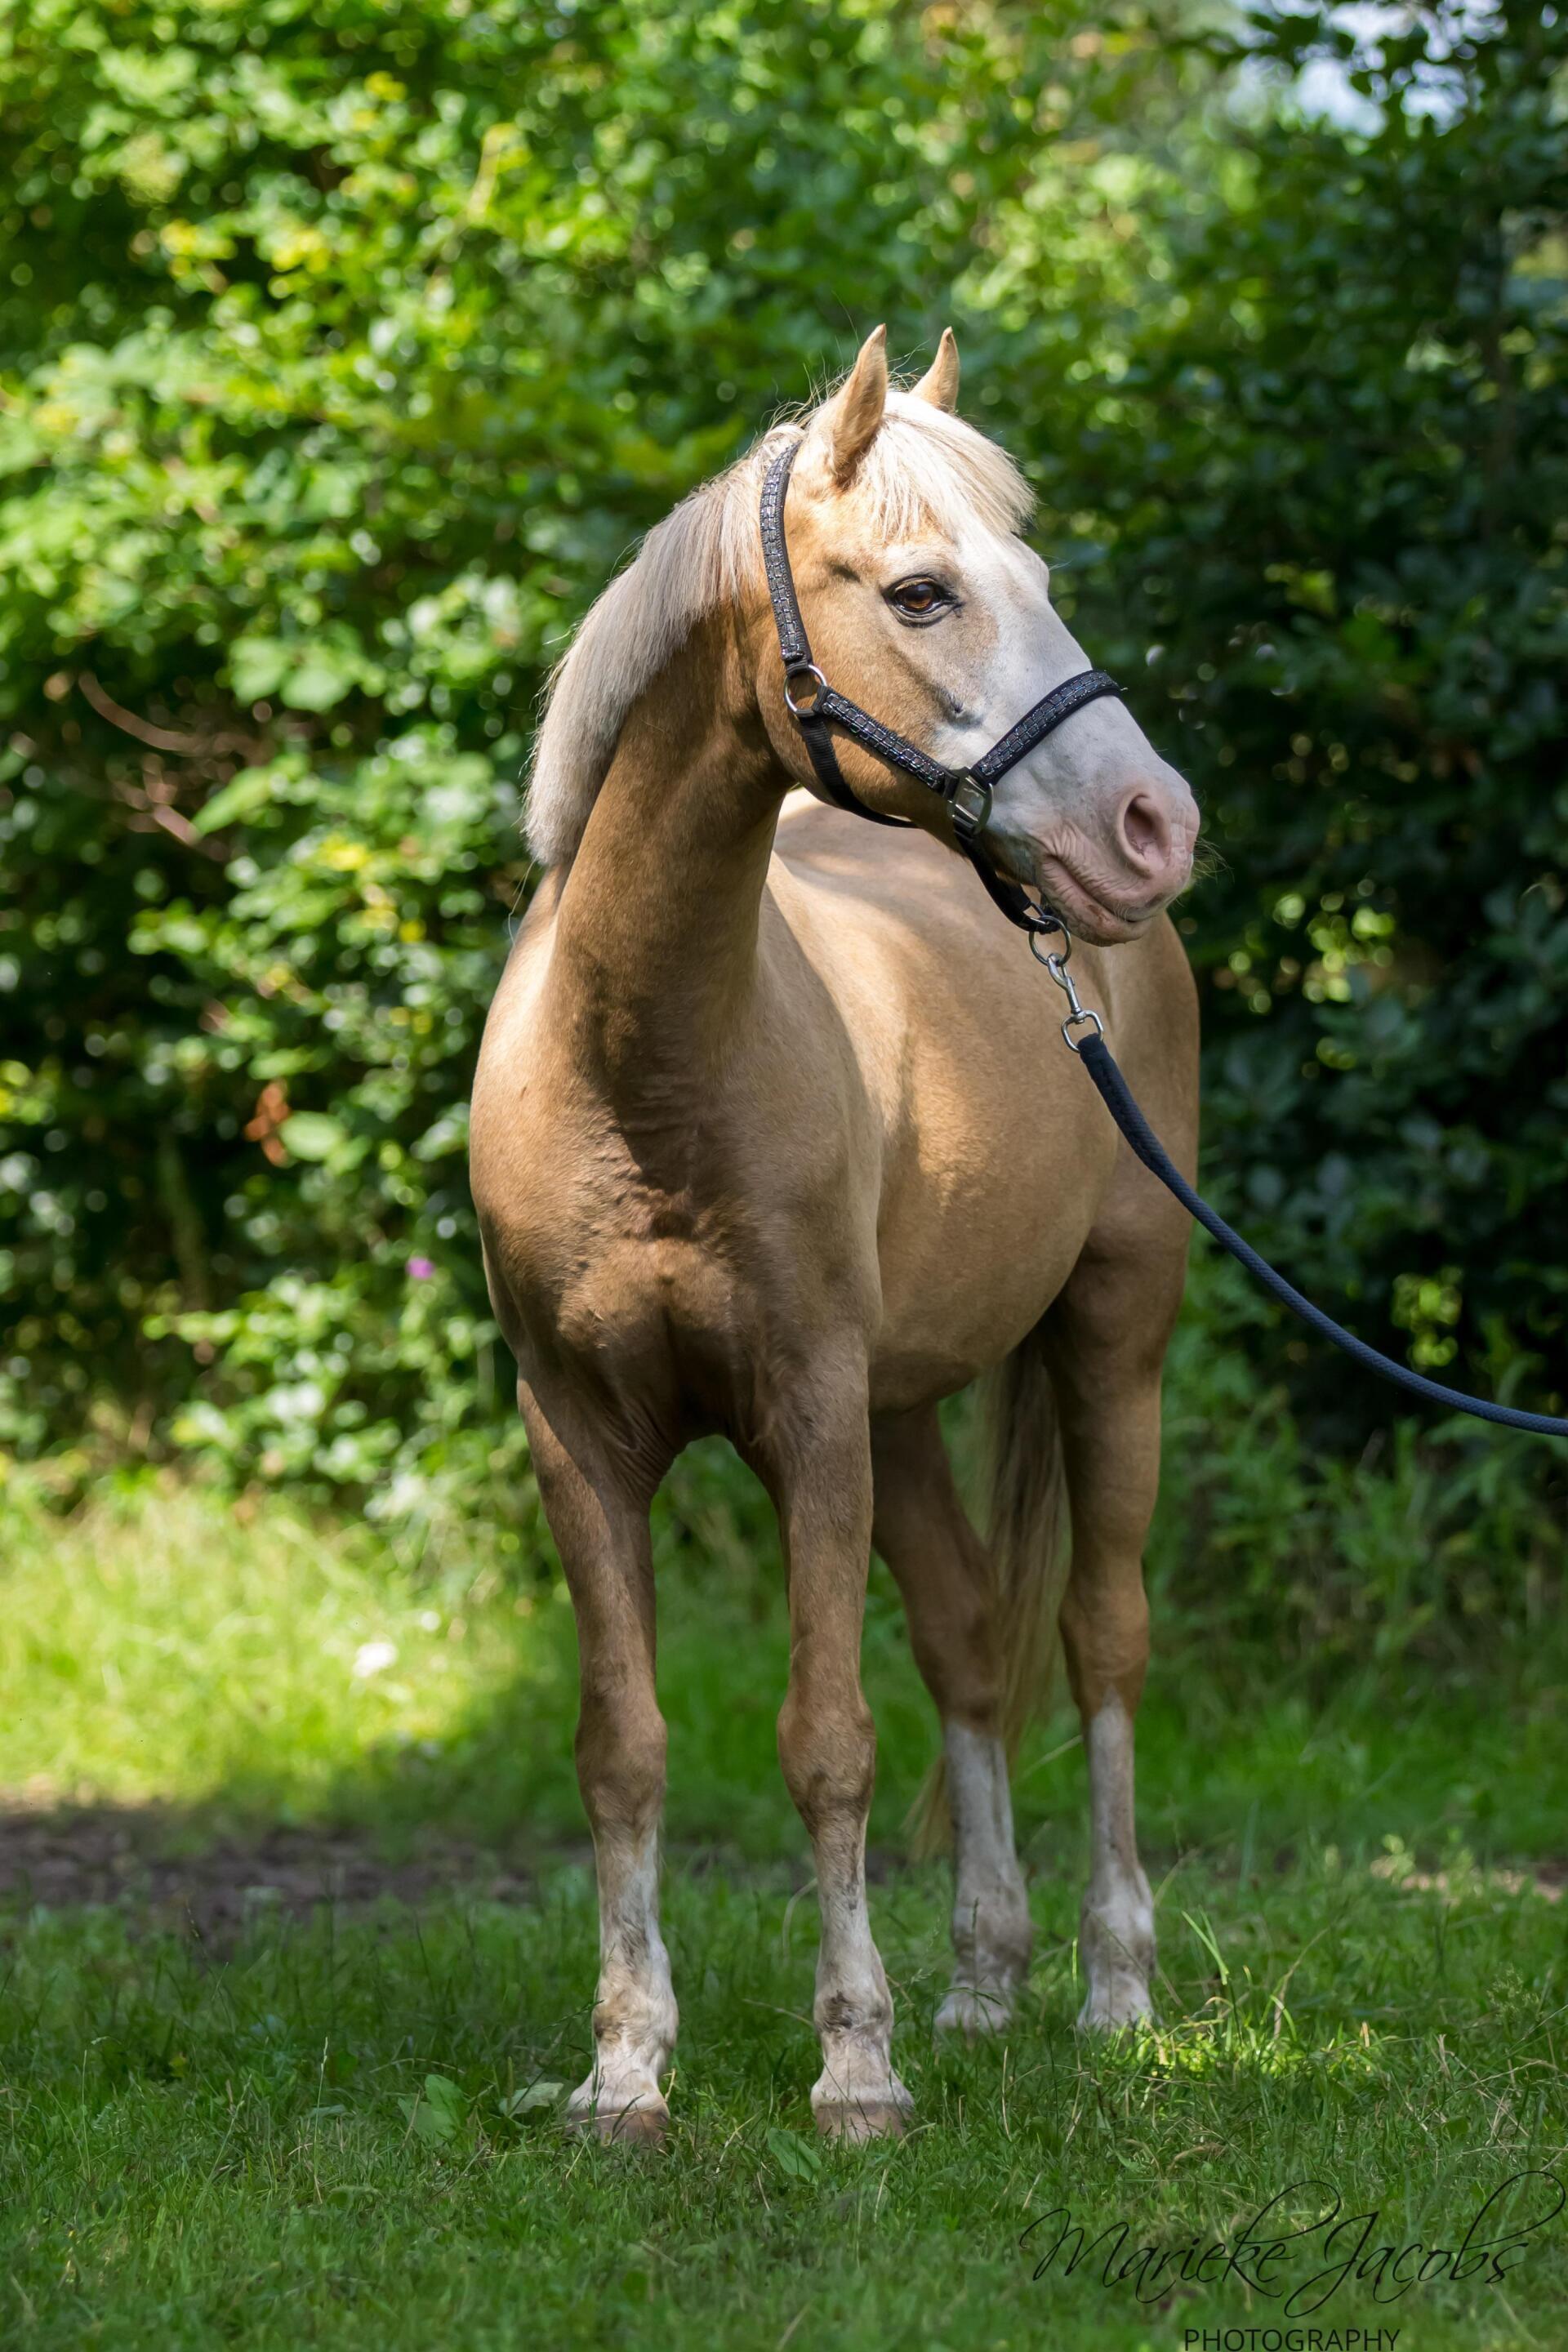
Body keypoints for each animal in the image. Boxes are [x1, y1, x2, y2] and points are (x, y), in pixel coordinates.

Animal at [470, 326, 1201, 2144]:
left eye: (1040, 578)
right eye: (925, 592)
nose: (1156, 824)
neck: (646, 1066)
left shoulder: (806, 1414)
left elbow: (828, 1738)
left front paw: (855, 2067)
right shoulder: (579, 1436)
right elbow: (623, 1747)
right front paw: (624, 2071)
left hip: (1114, 1334)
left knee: (1100, 1639)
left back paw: (1115, 1988)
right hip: (910, 1407)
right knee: (968, 1639)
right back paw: (988, 1979)